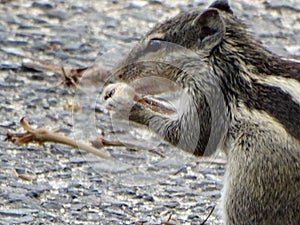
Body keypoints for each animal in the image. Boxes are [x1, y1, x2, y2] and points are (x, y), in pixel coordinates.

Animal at [102, 0, 298, 224]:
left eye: (155, 44)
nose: (115, 72)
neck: (227, 64)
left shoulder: (209, 97)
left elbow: (194, 139)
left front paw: (124, 103)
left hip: (250, 186)